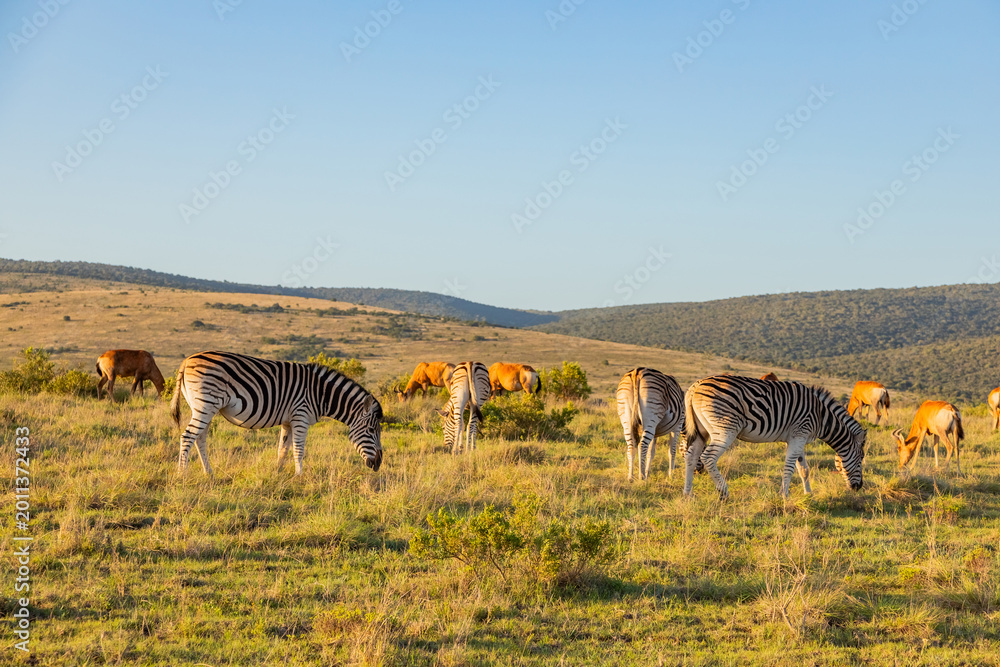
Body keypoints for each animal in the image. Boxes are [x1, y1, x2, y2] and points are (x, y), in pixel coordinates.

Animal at [169, 351, 383, 476]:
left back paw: (209, 473)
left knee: (200, 438)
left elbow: (283, 449)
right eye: (372, 431)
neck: (320, 393)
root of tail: (187, 360)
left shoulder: (288, 421)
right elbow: (298, 449)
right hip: (206, 404)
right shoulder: (300, 416)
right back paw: (182, 474)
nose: (379, 464)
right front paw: (299, 477)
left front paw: (278, 474)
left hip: (203, 407)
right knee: (188, 436)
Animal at [683, 375, 865, 499]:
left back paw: (688, 493)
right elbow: (790, 467)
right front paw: (784, 495)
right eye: (861, 459)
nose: (859, 487)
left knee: (691, 456)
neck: (821, 415)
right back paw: (723, 492)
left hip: (702, 432)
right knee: (708, 457)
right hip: (725, 429)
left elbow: (804, 469)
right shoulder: (799, 434)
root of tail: (695, 386)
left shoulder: (798, 437)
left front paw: (808, 494)